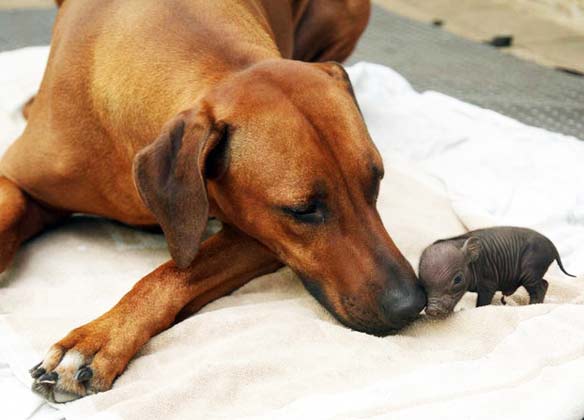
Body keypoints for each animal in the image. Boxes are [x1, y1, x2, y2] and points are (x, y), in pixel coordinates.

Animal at [2, 0, 426, 400]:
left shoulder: (261, 237)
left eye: (376, 181)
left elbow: (175, 273)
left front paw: (98, 340)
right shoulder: (16, 176)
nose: (412, 304)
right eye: (303, 210)